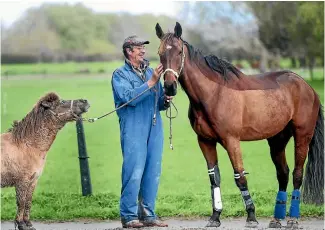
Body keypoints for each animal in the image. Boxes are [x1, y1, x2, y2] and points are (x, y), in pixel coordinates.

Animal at [154, 22, 322, 229]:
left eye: (179, 51)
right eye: (160, 52)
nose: (170, 87)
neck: (213, 94)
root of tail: (307, 87)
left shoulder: (231, 140)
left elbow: (240, 177)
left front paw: (251, 216)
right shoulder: (205, 141)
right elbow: (214, 177)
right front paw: (215, 216)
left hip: (302, 136)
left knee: (297, 174)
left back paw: (293, 219)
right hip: (277, 139)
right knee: (283, 173)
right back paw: (276, 219)